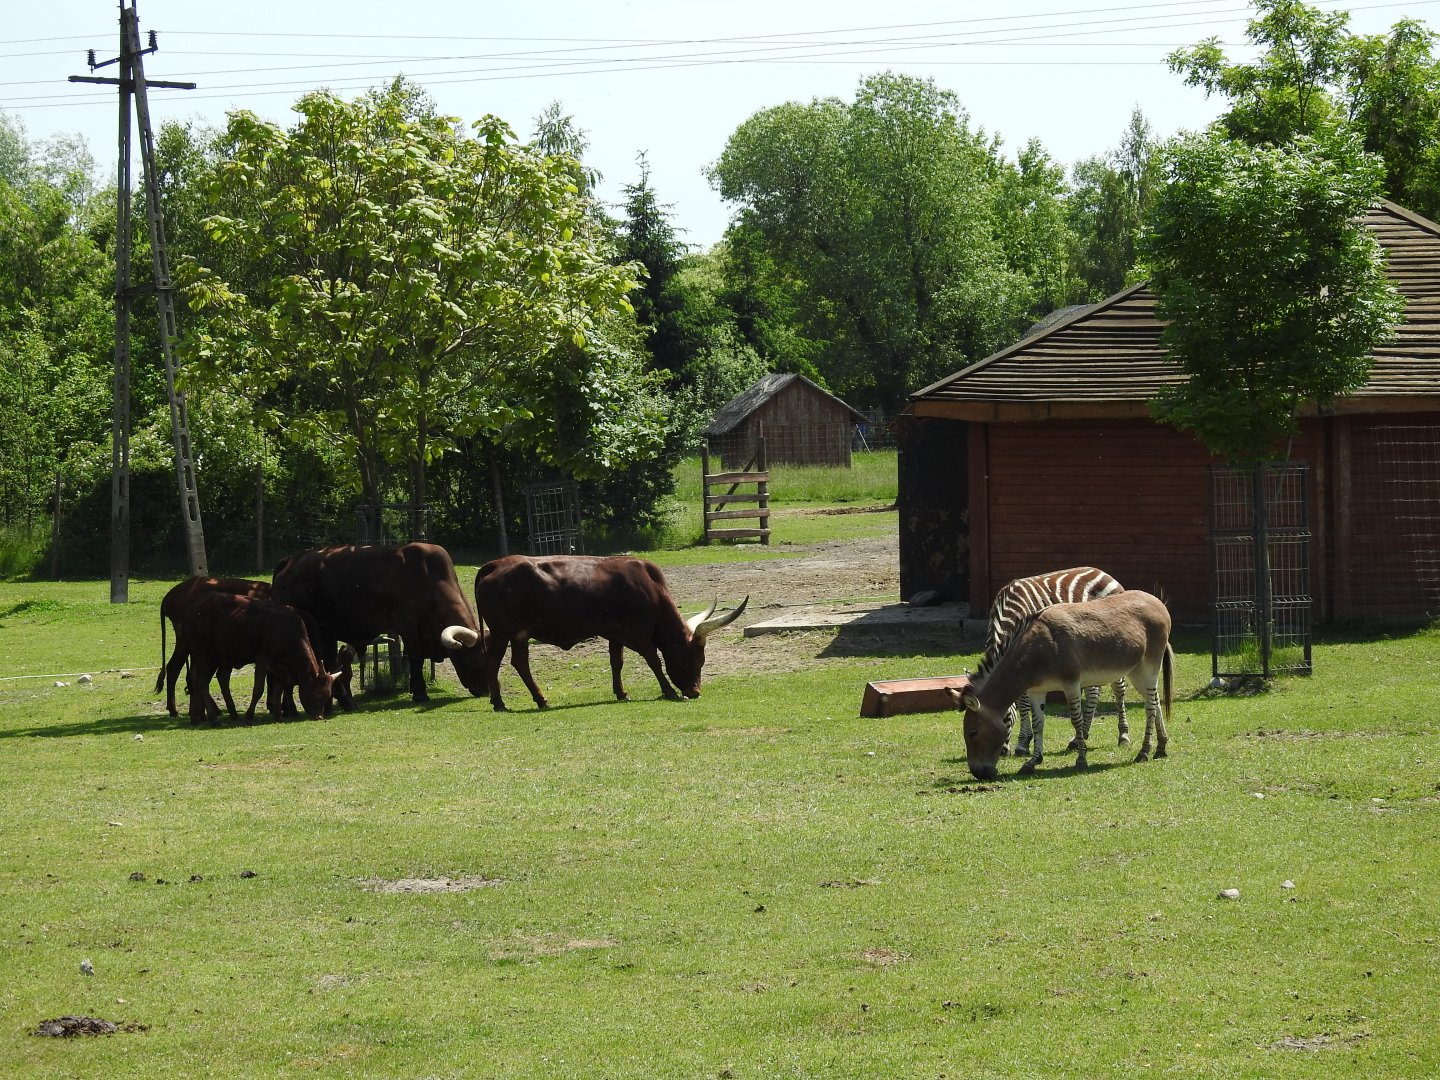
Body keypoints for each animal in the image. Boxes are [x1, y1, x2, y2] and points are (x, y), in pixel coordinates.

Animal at [182, 592, 343, 724]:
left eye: (328, 695)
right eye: (318, 693)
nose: (319, 716)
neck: (289, 633)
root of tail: (193, 609)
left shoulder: (280, 667)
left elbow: (279, 689)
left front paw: (278, 716)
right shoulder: (262, 661)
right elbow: (258, 690)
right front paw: (249, 717)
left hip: (219, 656)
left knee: (213, 679)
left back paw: (209, 716)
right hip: (205, 655)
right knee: (201, 682)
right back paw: (214, 718)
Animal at [271, 542, 486, 705]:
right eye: (473, 658)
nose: (485, 691)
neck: (430, 579)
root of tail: (289, 561)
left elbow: (408, 658)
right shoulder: (409, 627)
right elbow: (415, 657)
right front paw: (420, 693)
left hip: (327, 635)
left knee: (330, 665)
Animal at [472, 554, 749, 710]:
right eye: (695, 660)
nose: (695, 692)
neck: (651, 590)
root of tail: (495, 564)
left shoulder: (616, 635)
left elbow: (617, 662)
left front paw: (621, 693)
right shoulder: (639, 635)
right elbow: (654, 661)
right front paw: (669, 691)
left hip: (518, 634)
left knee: (519, 663)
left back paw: (539, 700)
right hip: (502, 632)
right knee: (494, 662)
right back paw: (500, 703)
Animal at [972, 567, 1128, 757]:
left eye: (1004, 717)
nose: (1002, 752)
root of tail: (1103, 572)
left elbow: (1024, 703)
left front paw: (1022, 743)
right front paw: (1026, 740)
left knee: (1118, 688)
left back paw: (1123, 735)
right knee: (1094, 692)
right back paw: (1080, 736)